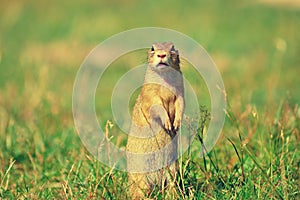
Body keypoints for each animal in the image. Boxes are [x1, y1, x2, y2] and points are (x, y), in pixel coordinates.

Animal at [125, 42, 184, 198]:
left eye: (173, 48)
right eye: (152, 48)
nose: (162, 54)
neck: (165, 77)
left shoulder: (180, 90)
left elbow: (181, 104)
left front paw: (177, 122)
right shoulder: (150, 92)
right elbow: (156, 105)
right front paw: (168, 123)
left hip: (172, 168)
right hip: (141, 176)